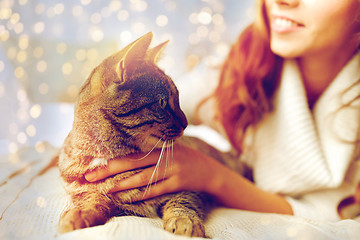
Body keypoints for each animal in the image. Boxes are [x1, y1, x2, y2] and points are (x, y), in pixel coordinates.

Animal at [57, 32, 242, 237]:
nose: (186, 123)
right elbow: (92, 198)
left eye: (178, 98)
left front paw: (184, 221)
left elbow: (182, 202)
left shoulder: (193, 188)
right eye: (162, 102)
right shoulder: (94, 195)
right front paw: (80, 213)